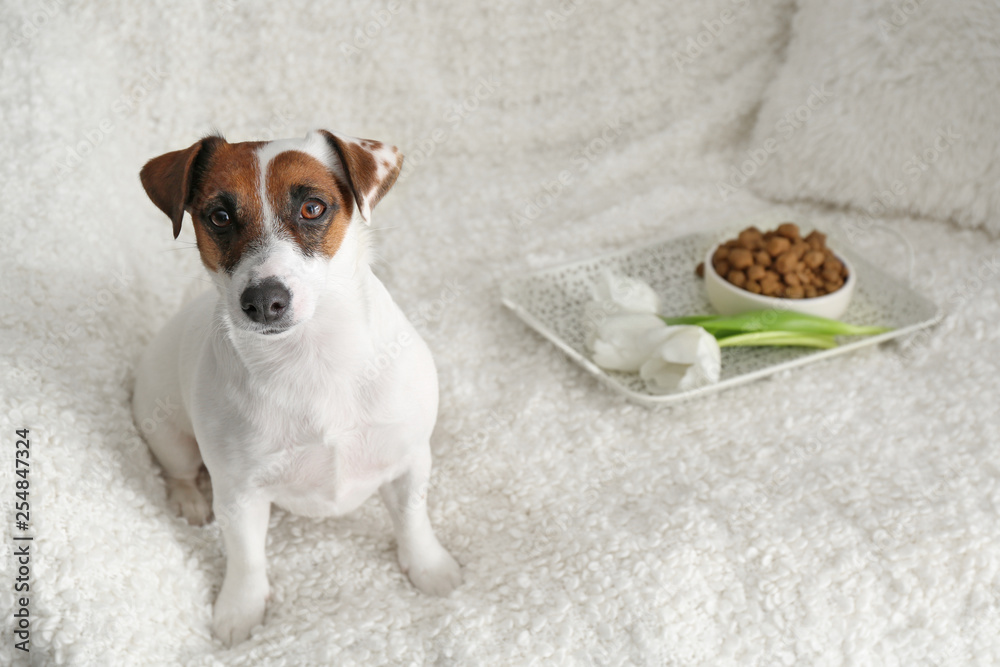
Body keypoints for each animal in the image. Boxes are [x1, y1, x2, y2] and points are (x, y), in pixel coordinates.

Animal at [131, 129, 462, 648]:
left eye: (312, 208)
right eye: (219, 216)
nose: (264, 300)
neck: (312, 356)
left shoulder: (409, 459)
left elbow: (413, 519)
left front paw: (429, 567)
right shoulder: (239, 492)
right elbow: (246, 558)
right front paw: (240, 609)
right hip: (169, 434)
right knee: (179, 470)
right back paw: (188, 500)